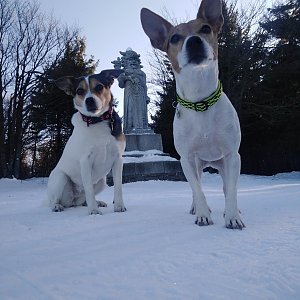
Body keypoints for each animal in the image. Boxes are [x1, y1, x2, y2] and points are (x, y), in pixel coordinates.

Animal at [47, 69, 125, 216]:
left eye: (99, 87)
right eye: (79, 91)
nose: (89, 100)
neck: (97, 121)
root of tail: (73, 200)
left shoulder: (118, 159)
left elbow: (118, 187)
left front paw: (119, 206)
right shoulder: (85, 161)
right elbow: (89, 190)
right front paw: (94, 211)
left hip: (102, 182)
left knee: (83, 201)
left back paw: (97, 202)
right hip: (60, 177)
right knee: (55, 200)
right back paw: (57, 206)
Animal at [140, 0, 244, 230]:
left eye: (205, 28)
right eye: (174, 38)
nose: (194, 41)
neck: (200, 101)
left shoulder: (232, 155)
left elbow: (231, 190)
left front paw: (233, 216)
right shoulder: (185, 160)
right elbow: (197, 190)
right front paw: (203, 214)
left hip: (223, 163)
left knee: (226, 186)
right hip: (196, 165)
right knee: (198, 187)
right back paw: (196, 207)